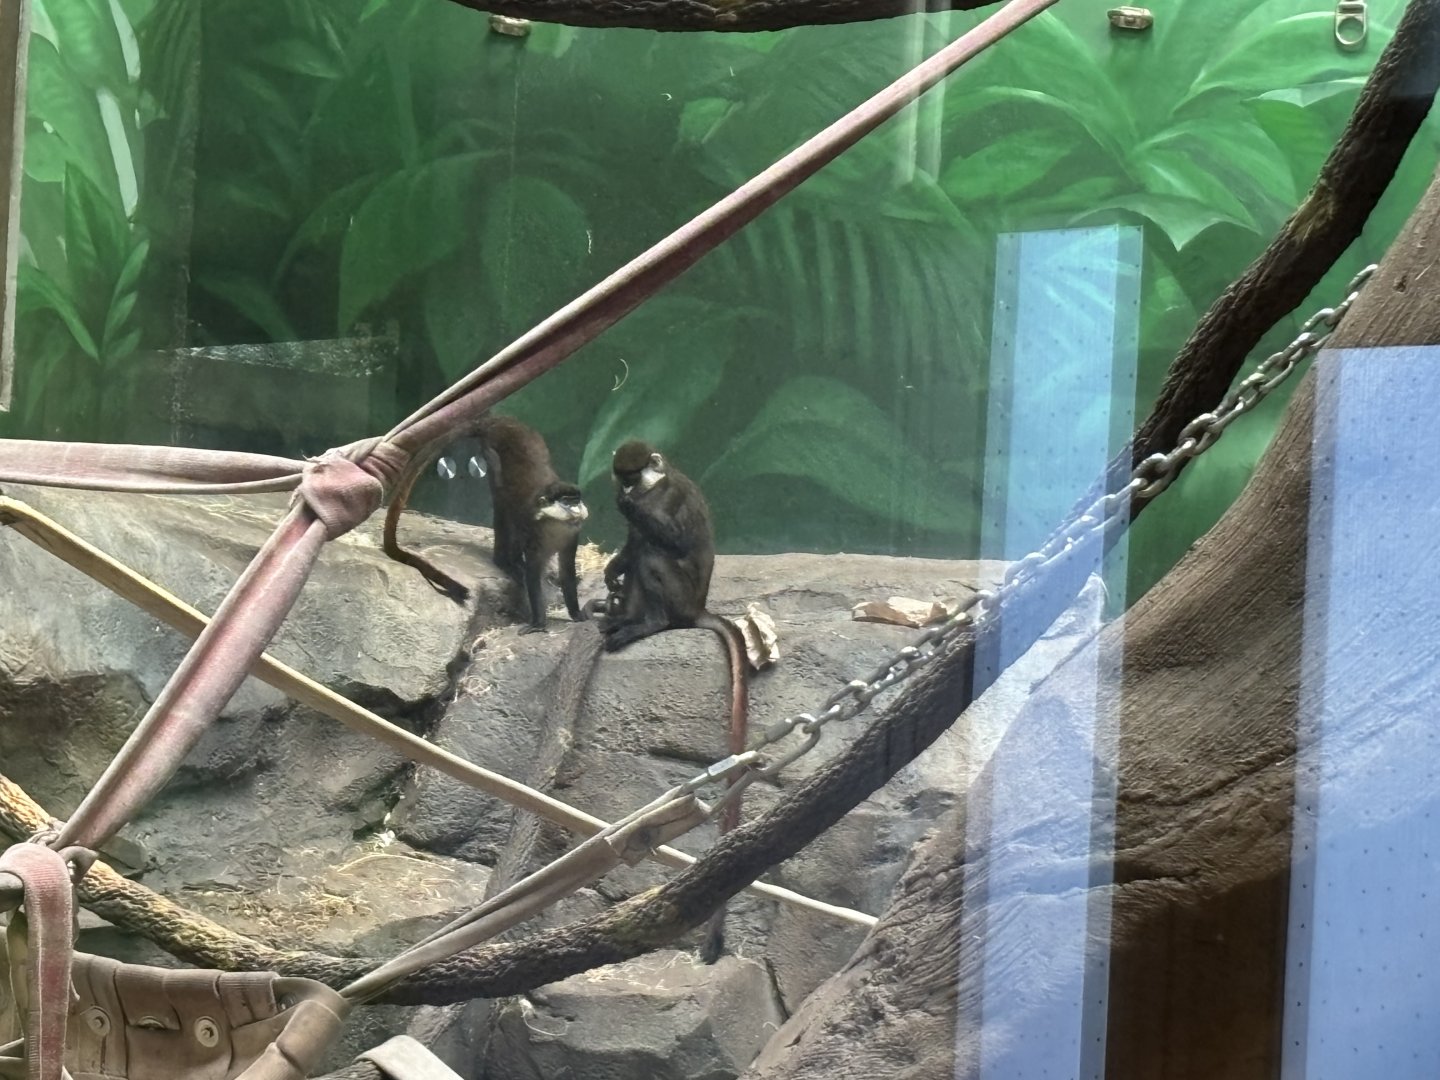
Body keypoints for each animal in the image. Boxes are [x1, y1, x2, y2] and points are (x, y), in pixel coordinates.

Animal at [600, 439, 748, 963]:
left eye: (634, 476)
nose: (625, 489)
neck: (654, 486)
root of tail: (697, 609)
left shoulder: (668, 495)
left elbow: (671, 540)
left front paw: (628, 509)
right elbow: (627, 549)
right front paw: (610, 569)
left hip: (680, 598)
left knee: (654, 554)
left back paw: (649, 623)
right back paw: (620, 617)